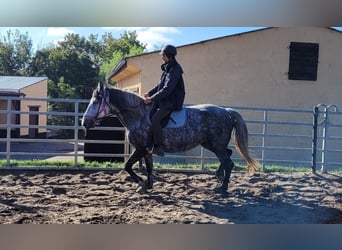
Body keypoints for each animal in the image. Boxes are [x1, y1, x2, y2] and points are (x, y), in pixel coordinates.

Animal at [82, 83, 260, 194]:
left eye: (96, 101)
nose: (85, 122)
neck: (138, 115)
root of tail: (226, 111)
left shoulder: (140, 148)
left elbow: (127, 166)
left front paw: (141, 183)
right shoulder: (147, 150)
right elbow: (148, 167)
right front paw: (147, 185)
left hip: (216, 145)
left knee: (229, 163)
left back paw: (222, 189)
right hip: (211, 144)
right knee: (227, 156)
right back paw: (218, 177)